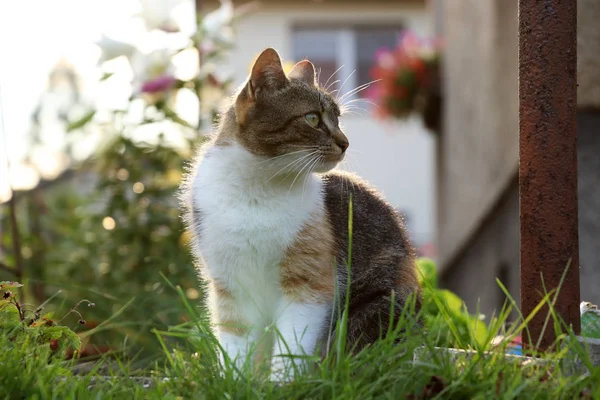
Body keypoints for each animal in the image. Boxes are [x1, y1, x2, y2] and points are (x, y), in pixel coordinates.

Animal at [180, 47, 420, 382]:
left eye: (338, 119)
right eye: (312, 118)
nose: (345, 143)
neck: (256, 189)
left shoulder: (309, 281)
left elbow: (292, 341)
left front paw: (282, 384)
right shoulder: (229, 284)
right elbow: (235, 340)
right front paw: (238, 383)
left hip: (376, 307)